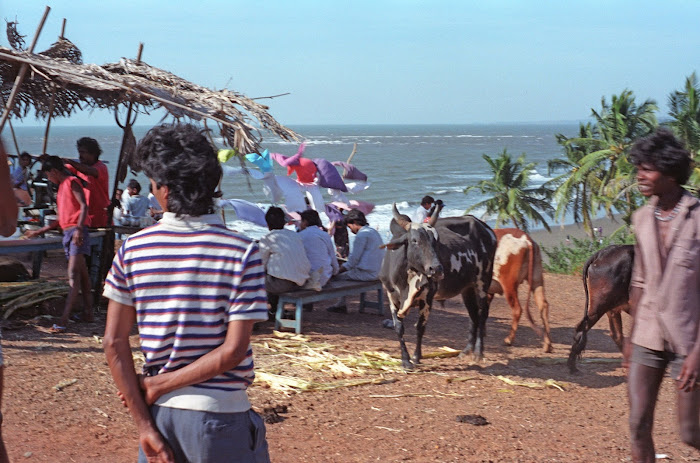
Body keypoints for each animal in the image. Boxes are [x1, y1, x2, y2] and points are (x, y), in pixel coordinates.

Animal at [382, 203, 498, 370]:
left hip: (483, 281)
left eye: (436, 241)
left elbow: (420, 327)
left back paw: (478, 353)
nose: (436, 269)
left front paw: (416, 357)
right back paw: (466, 351)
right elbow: (398, 327)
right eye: (414, 240)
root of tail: (484, 227)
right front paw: (405, 360)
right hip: (467, 289)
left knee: (482, 314)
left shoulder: (427, 297)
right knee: (473, 315)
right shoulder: (391, 296)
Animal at [568, 245, 636, 376]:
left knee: (617, 335)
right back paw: (572, 367)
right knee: (581, 328)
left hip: (612, 309)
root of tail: (602, 253)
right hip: (599, 307)